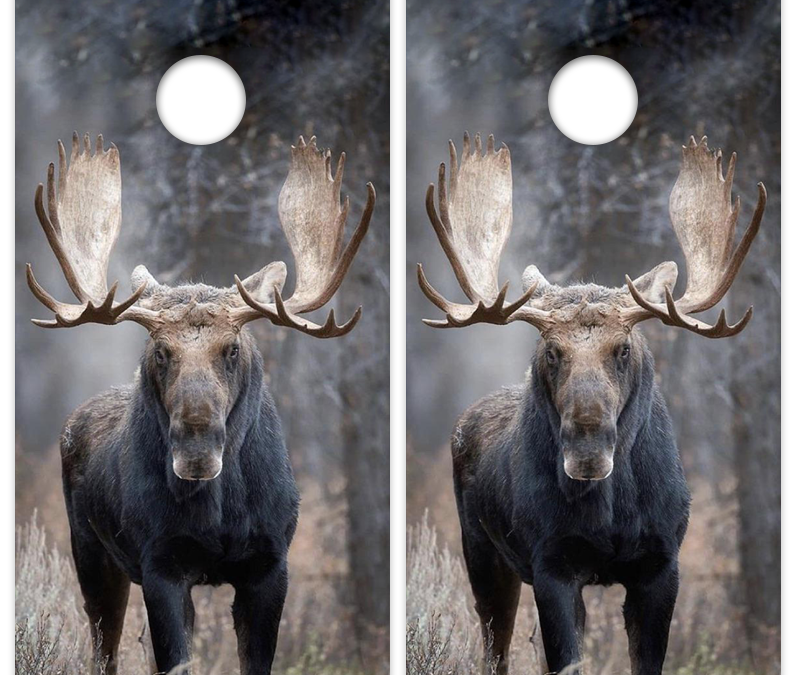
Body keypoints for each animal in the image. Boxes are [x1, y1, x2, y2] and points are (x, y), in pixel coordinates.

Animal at [26, 132, 375, 675]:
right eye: (160, 351)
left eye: (231, 348)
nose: (196, 449)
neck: (219, 513)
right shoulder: (161, 564)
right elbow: (175, 660)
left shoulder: (270, 564)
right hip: (90, 554)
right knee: (104, 646)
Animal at [417, 132, 766, 675]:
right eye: (551, 351)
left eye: (622, 348)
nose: (587, 450)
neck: (611, 513)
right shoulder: (552, 564)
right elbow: (565, 660)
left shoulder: (661, 564)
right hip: (481, 554)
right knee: (495, 647)